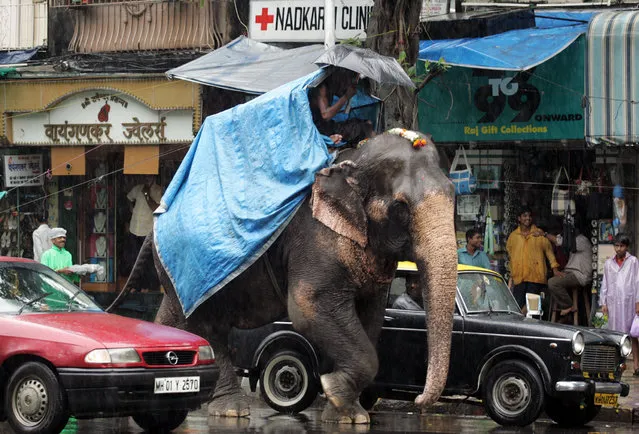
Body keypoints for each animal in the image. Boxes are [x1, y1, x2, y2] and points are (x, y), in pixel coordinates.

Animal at [110, 132, 460, 424]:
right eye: (401, 206)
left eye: (454, 196)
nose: (420, 401)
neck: (353, 161)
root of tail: (157, 217)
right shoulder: (314, 240)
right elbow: (307, 307)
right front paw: (334, 390)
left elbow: (370, 318)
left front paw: (348, 415)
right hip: (191, 268)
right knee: (207, 324)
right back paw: (230, 410)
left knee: (180, 318)